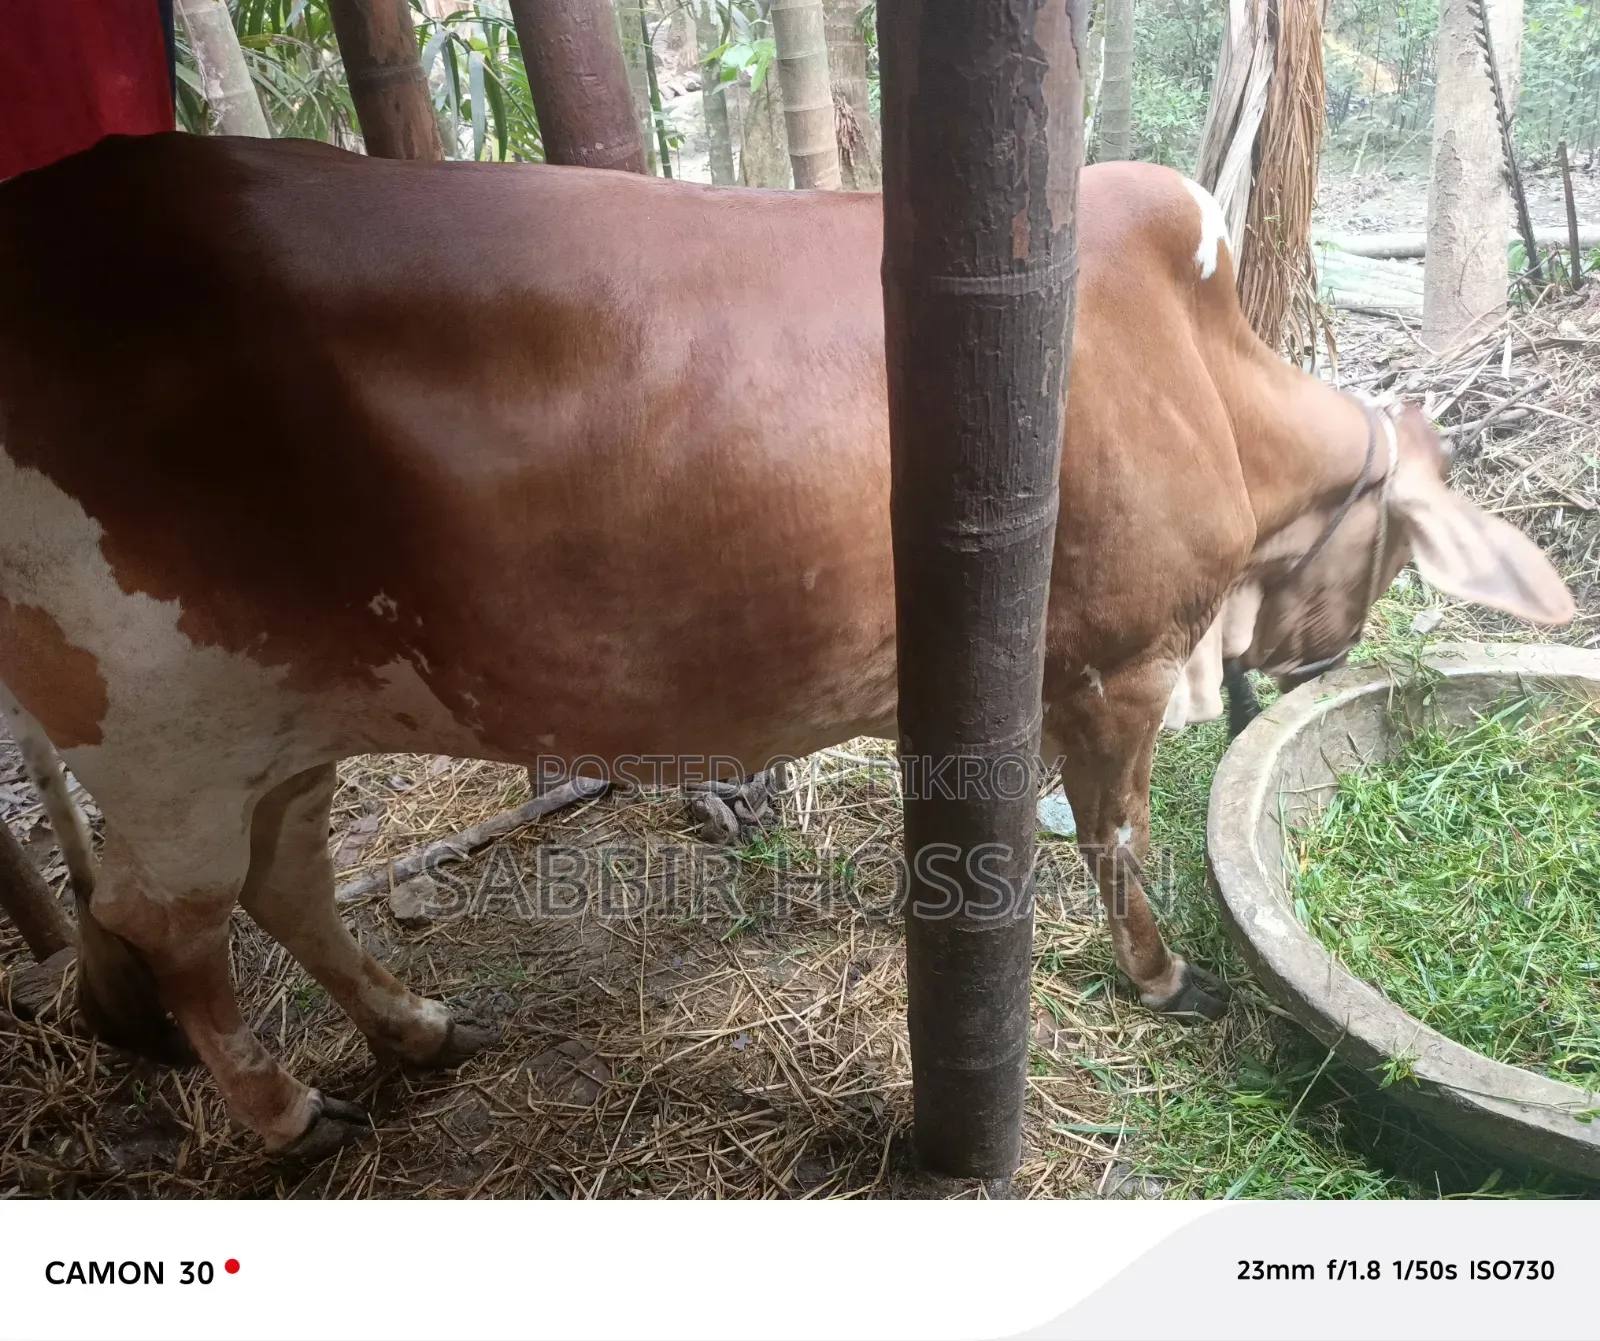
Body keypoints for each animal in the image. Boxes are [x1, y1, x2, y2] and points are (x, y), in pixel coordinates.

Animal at [0, 135, 1573, 1160]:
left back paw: (415, 1028)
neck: (1207, 373)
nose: (1313, 665)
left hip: (285, 710)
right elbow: (1118, 830)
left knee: (286, 882)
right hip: (155, 722)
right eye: (1394, 552)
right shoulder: (1116, 660)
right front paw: (1161, 976)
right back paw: (283, 1113)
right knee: (171, 923)